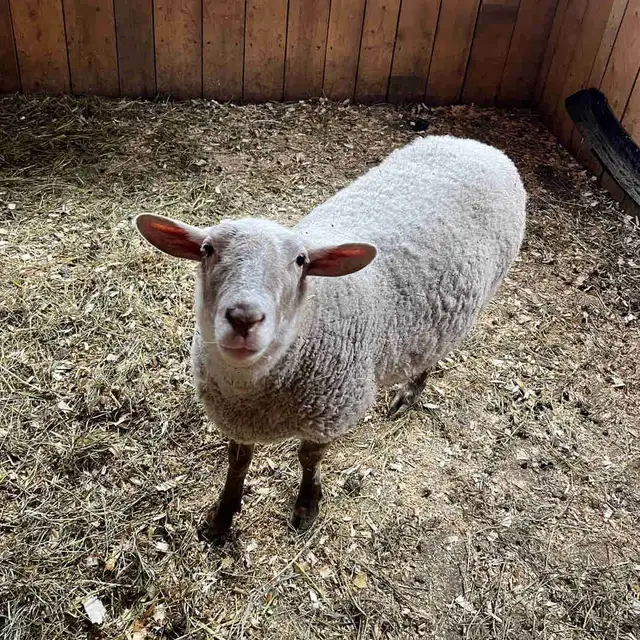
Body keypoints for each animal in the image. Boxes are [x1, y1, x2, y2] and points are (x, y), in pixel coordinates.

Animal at [135, 135, 527, 536]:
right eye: (207, 249)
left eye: (301, 261)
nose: (244, 317)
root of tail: (477, 145)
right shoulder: (236, 421)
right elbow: (238, 461)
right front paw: (223, 516)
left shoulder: (331, 412)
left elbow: (309, 459)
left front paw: (306, 506)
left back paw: (409, 393)